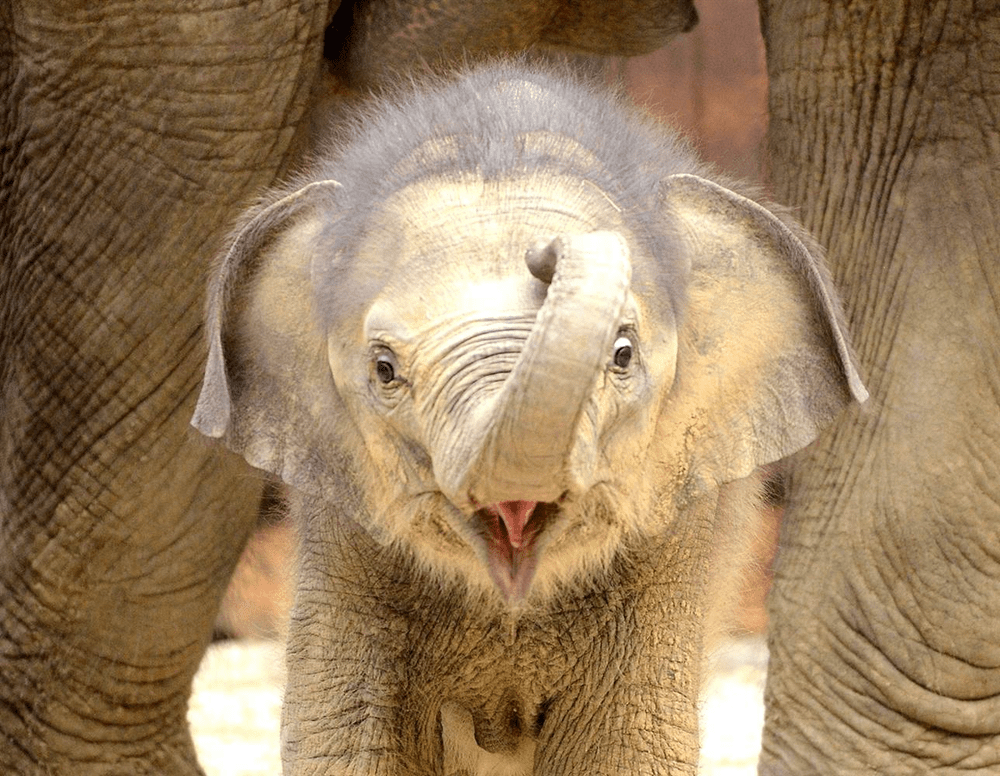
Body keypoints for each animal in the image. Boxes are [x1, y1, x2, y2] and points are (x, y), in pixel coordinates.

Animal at [193, 62, 868, 776]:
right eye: (383, 369)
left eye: (622, 354)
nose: (547, 254)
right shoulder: (343, 537)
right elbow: (346, 739)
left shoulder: (675, 528)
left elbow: (624, 748)